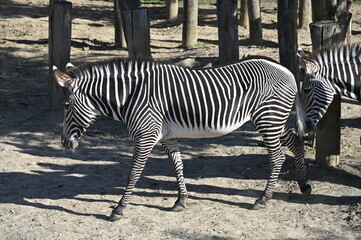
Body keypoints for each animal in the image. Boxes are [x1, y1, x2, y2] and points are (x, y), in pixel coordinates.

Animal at [52, 56, 310, 221]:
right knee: (296, 143)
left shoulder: (146, 136)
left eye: (66, 105)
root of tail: (286, 69)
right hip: (273, 120)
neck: (131, 96)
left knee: (277, 158)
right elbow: (178, 166)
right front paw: (181, 201)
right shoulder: (167, 137)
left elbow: (134, 172)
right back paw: (304, 185)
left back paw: (263, 199)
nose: (65, 143)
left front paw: (118, 209)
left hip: (268, 119)